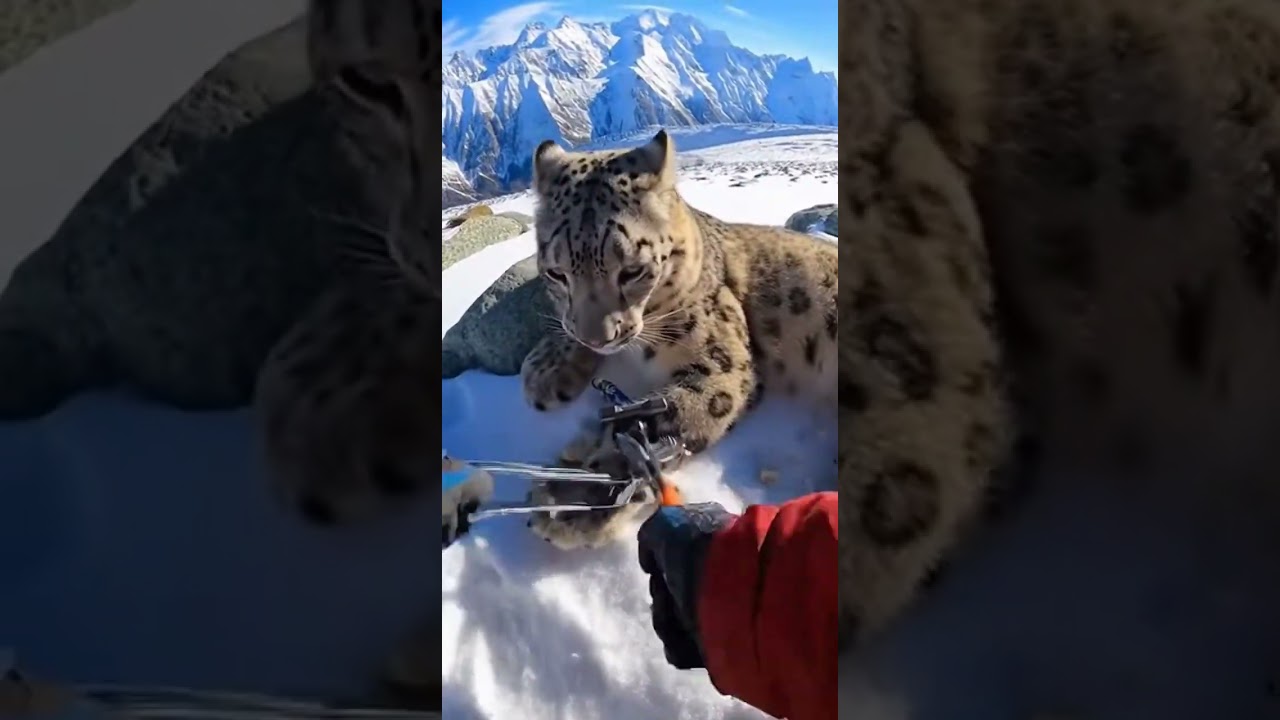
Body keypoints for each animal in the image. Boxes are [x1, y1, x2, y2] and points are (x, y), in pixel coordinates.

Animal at [519, 130, 839, 550]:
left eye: (633, 271)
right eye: (557, 273)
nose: (599, 338)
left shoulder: (721, 366)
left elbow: (661, 421)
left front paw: (575, 499)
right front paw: (546, 369)